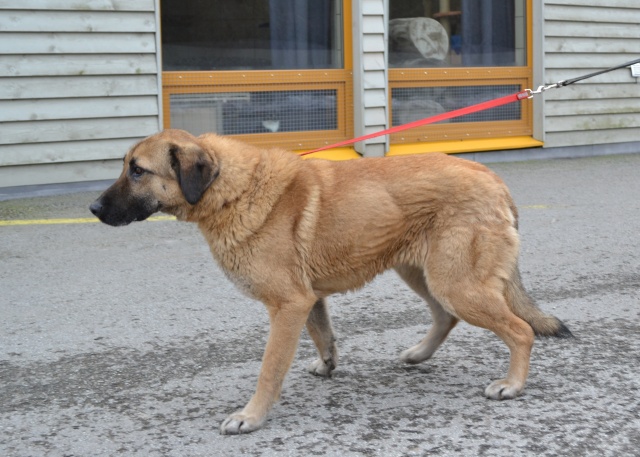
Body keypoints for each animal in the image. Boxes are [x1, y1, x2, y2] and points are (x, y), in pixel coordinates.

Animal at [90, 129, 572, 434]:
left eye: (138, 170)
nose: (93, 209)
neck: (233, 188)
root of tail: (491, 177)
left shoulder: (288, 306)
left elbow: (269, 370)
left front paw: (252, 417)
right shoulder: (307, 302)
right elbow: (323, 335)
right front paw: (327, 366)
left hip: (457, 284)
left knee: (520, 330)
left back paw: (512, 384)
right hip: (425, 274)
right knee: (444, 317)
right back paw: (419, 354)